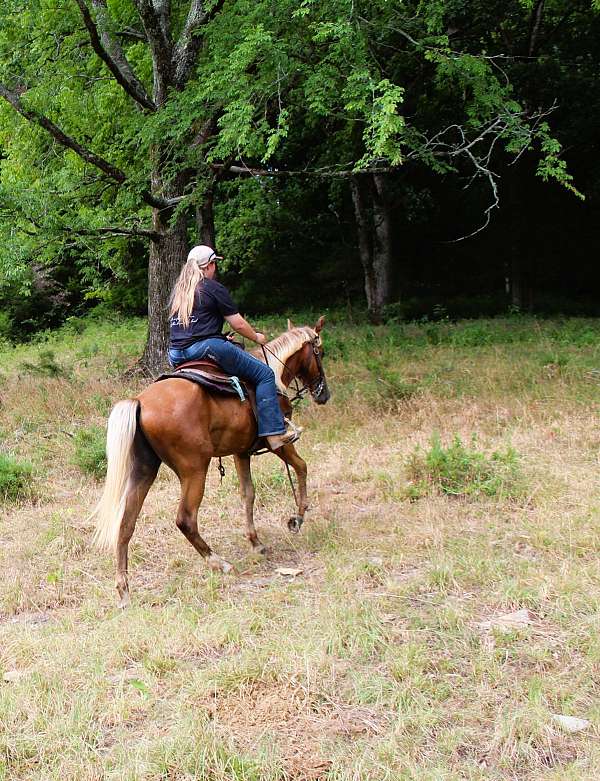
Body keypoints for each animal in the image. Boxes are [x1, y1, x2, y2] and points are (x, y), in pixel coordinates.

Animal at [91, 316, 330, 604]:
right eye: (320, 353)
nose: (323, 394)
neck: (274, 374)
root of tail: (139, 401)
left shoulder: (241, 452)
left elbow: (248, 493)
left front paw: (256, 542)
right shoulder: (278, 444)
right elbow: (301, 467)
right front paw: (298, 517)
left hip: (144, 469)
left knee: (126, 524)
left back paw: (123, 589)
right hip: (194, 469)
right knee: (185, 519)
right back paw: (220, 563)